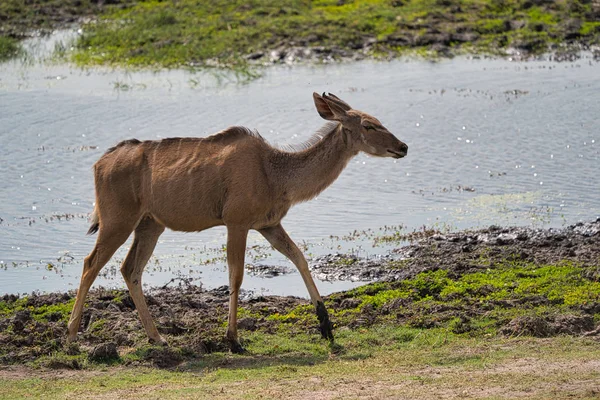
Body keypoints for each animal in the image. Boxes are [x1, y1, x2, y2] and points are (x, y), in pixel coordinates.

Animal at [67, 91, 408, 354]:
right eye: (368, 124)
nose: (403, 147)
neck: (277, 174)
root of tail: (99, 164)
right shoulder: (237, 223)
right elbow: (237, 276)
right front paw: (233, 340)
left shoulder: (268, 225)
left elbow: (299, 258)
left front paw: (326, 326)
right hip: (118, 221)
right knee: (90, 264)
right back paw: (71, 338)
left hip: (150, 224)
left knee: (130, 269)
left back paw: (158, 338)